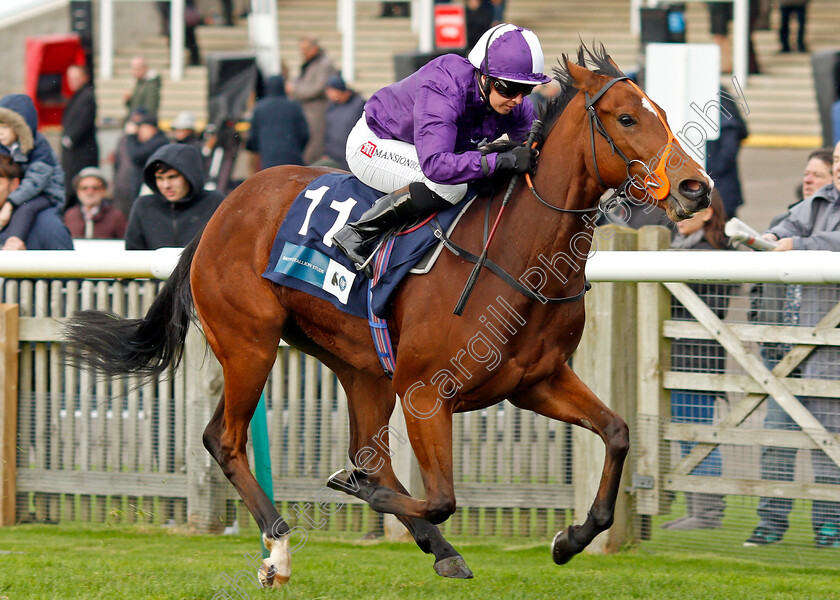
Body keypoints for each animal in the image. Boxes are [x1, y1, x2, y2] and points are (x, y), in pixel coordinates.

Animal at [64, 47, 708, 584]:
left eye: (661, 112)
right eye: (626, 119)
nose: (695, 187)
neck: (517, 258)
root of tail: (222, 209)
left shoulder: (537, 381)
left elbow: (618, 433)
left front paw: (571, 538)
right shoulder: (426, 393)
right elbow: (442, 497)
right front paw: (356, 495)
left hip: (360, 366)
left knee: (359, 451)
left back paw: (433, 546)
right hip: (250, 343)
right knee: (224, 440)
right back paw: (279, 551)